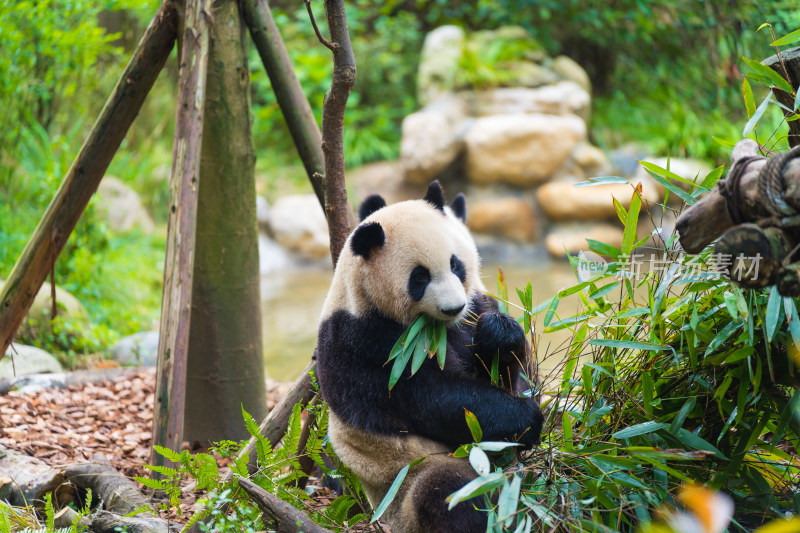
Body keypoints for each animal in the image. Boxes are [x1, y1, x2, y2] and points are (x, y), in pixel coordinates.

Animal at [314, 181, 544, 528]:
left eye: (455, 264)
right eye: (419, 277)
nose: (454, 307)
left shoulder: (472, 311)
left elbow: (511, 373)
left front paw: (499, 334)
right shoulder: (369, 345)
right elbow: (441, 400)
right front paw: (527, 419)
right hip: (406, 484)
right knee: (447, 491)